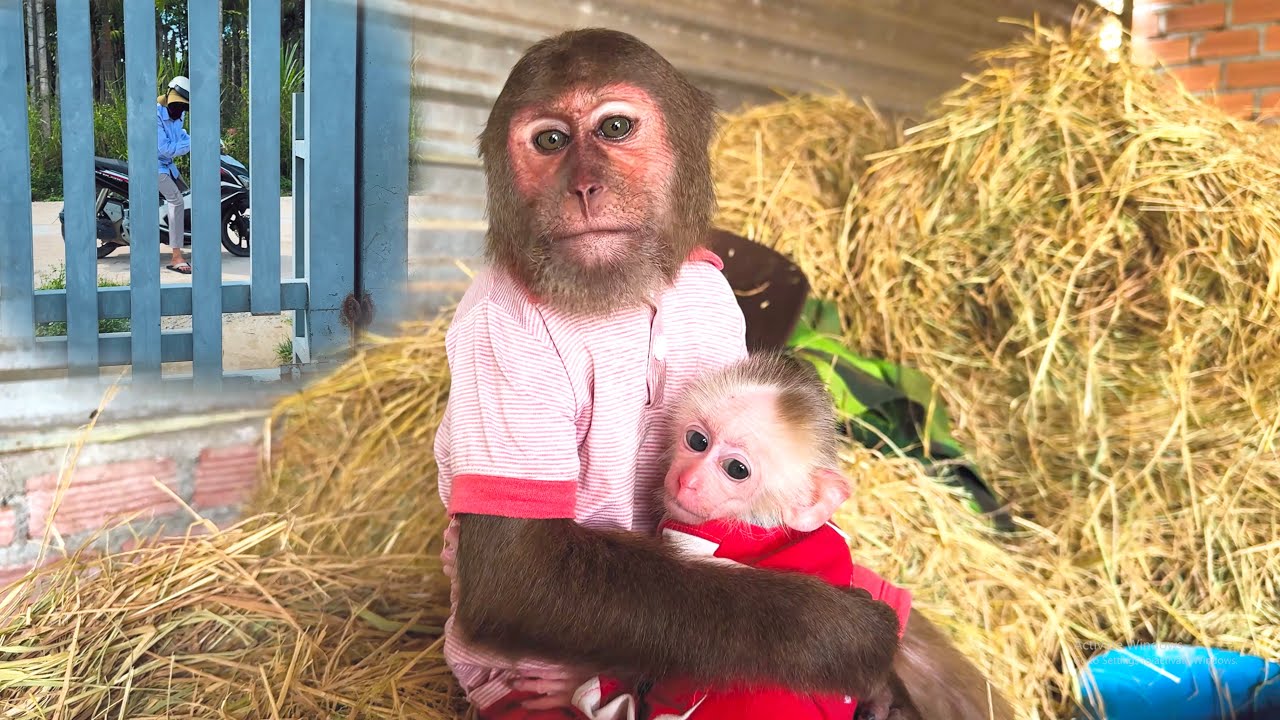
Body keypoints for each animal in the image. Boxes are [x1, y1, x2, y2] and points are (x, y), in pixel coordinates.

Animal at [433, 27, 903, 720]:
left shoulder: (717, 292)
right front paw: (838, 635)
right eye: (549, 141)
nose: (583, 186)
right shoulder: (495, 332)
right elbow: (520, 575)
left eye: (615, 128)